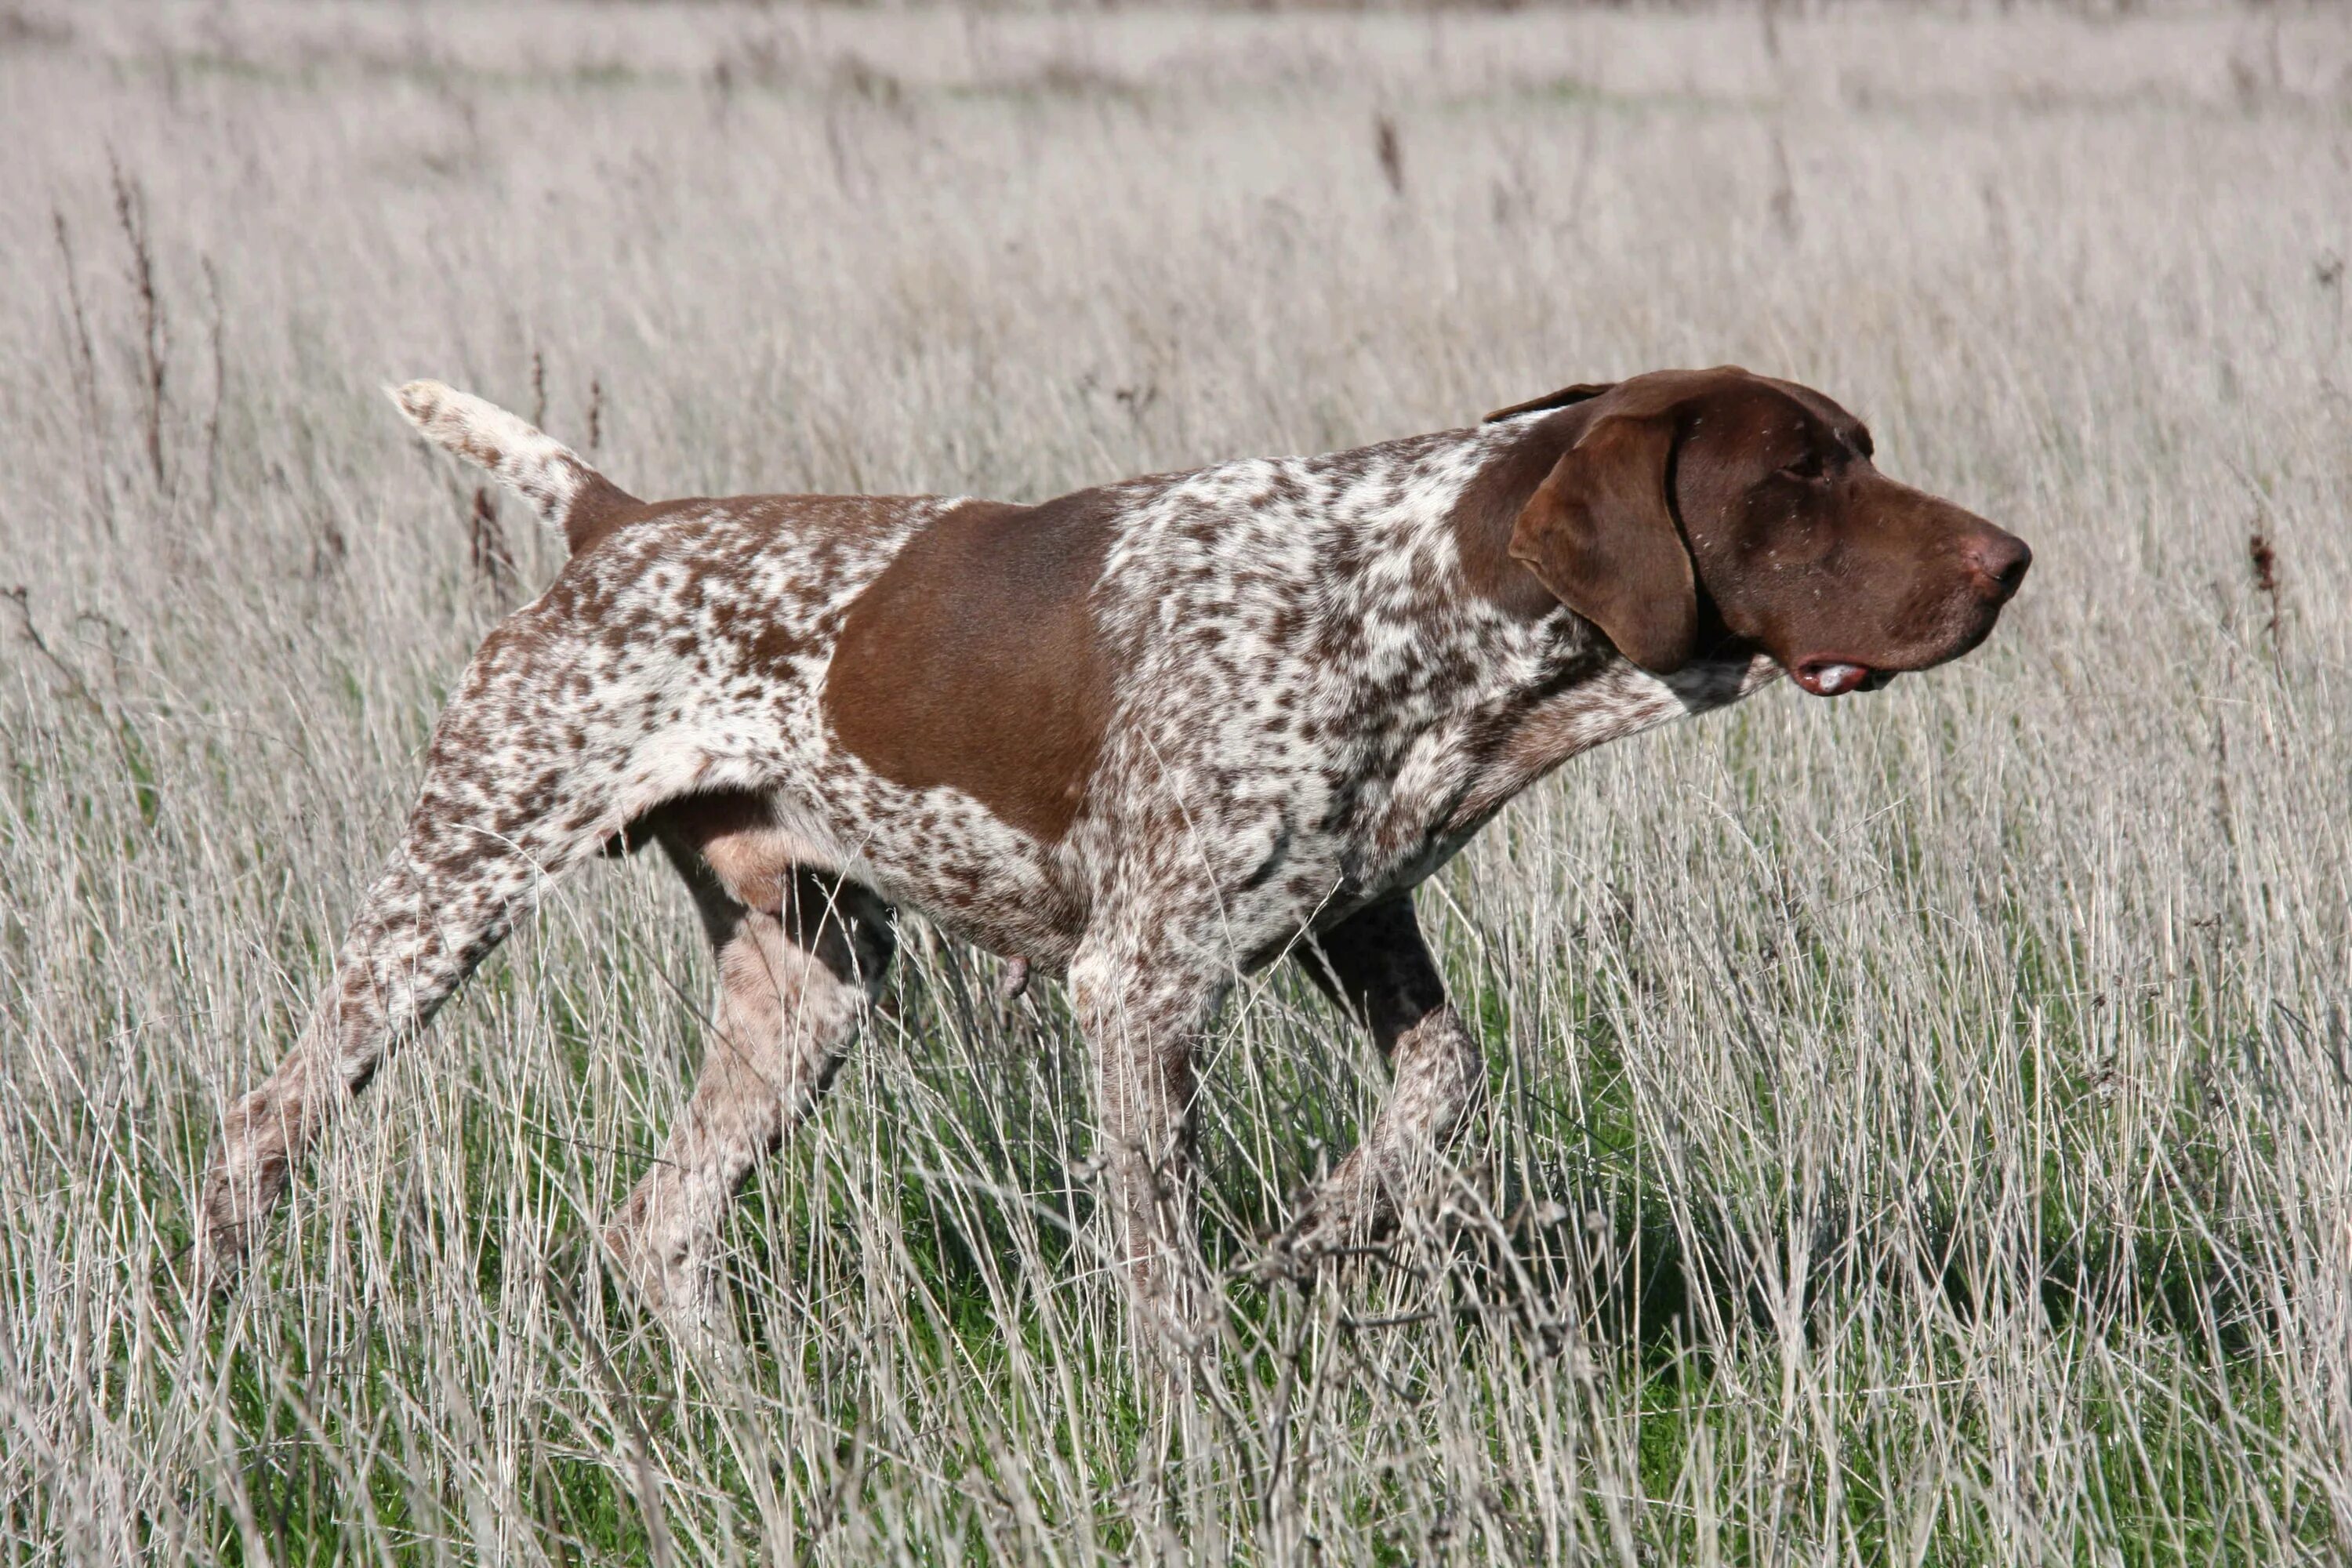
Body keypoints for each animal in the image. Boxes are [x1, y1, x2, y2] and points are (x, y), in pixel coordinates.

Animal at [193, 361, 2032, 1345]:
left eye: (1860, 452)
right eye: (1799, 475)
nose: (2010, 559)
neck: (1422, 600)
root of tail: (616, 524)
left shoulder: (1352, 919)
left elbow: (1445, 1082)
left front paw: (1327, 1230)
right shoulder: (1138, 983)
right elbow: (1158, 1258)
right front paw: (1190, 1400)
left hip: (812, 985)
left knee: (655, 1223)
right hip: (455, 887)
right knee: (260, 1131)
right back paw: (222, 1329)